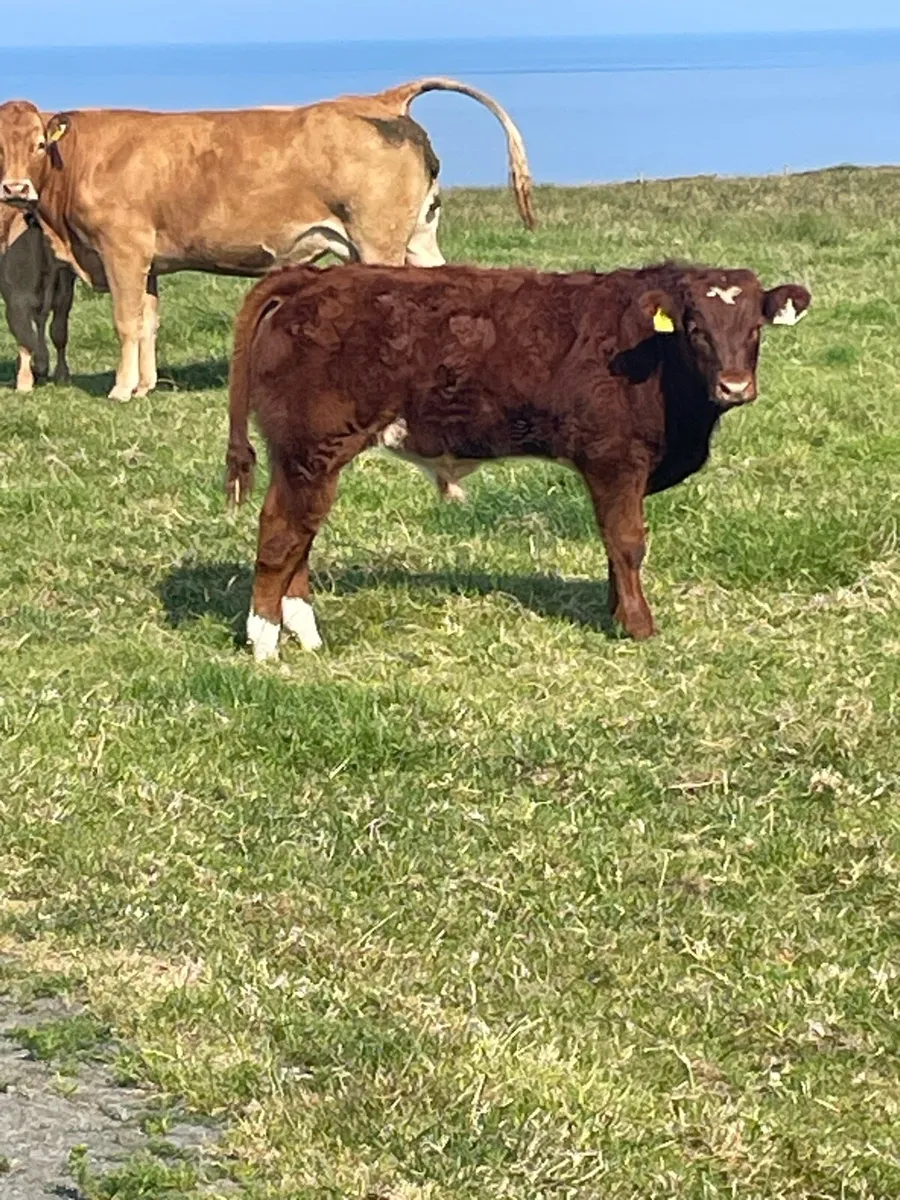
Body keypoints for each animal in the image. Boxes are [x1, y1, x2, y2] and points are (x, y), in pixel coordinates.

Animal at [0, 204, 74, 391]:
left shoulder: (64, 299)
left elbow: (58, 334)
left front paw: (61, 375)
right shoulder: (16, 303)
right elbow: (25, 338)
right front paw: (25, 381)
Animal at [223, 261, 810, 661]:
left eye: (754, 328)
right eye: (695, 329)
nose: (735, 386)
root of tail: (309, 279)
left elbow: (612, 546)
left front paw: (616, 612)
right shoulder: (614, 458)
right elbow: (627, 542)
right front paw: (639, 626)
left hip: (303, 457)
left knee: (300, 534)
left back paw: (305, 634)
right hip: (311, 449)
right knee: (281, 532)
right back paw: (265, 643)